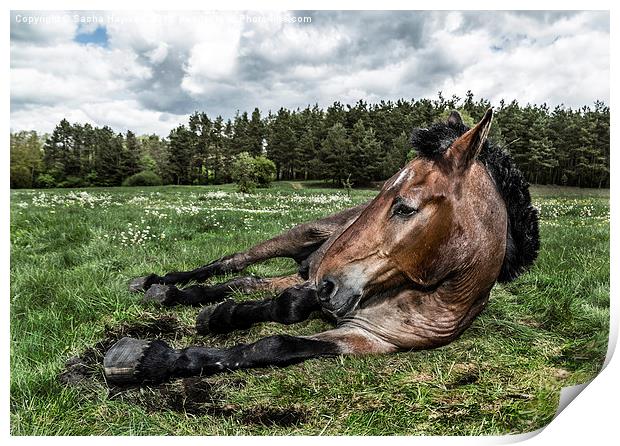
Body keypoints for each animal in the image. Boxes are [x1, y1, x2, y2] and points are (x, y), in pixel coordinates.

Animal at [103, 110, 536, 386]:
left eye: (404, 207)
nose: (329, 279)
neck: (430, 295)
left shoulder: (366, 339)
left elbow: (276, 343)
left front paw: (186, 338)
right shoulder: (323, 292)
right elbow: (288, 309)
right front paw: (154, 355)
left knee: (246, 282)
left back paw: (182, 296)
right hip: (295, 240)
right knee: (233, 262)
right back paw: (158, 284)